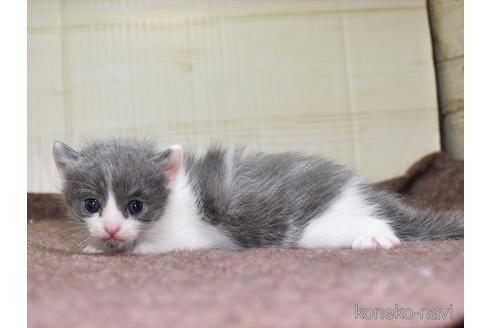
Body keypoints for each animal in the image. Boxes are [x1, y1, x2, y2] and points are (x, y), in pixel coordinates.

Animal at [52, 137, 464, 255]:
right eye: (91, 204)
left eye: (135, 206)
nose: (110, 228)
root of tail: (358, 189)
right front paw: (98, 245)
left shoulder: (199, 235)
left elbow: (154, 246)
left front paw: (117, 249)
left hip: (314, 229)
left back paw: (375, 237)